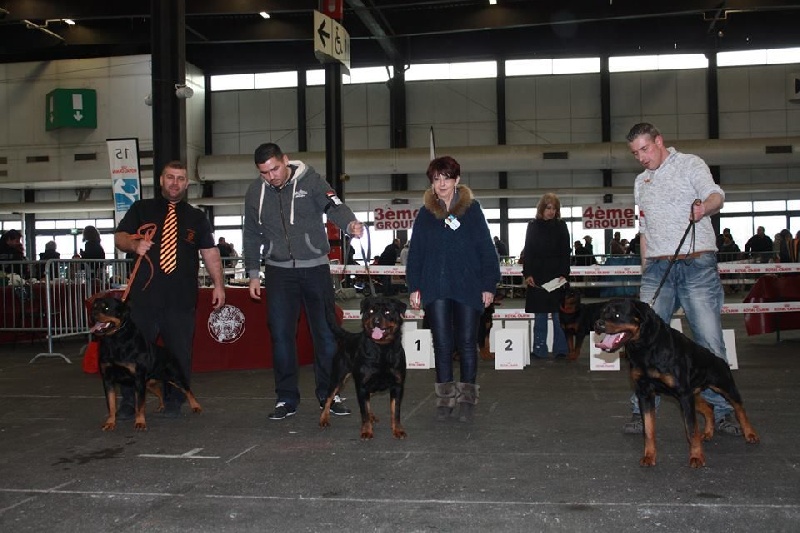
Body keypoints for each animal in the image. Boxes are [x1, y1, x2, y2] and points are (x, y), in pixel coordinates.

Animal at [90, 296, 202, 431]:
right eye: (94, 306)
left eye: (106, 308)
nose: (93, 314)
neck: (114, 340)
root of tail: (168, 351)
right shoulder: (108, 379)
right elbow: (111, 404)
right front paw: (110, 422)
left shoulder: (138, 379)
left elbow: (140, 404)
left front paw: (140, 422)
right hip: (149, 382)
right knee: (159, 391)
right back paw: (162, 406)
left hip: (175, 376)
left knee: (188, 390)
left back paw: (196, 406)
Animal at [320, 296, 407, 440]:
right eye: (371, 311)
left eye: (387, 312)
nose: (376, 320)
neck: (381, 349)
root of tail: (350, 336)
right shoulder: (362, 385)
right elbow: (363, 411)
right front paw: (366, 431)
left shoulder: (397, 385)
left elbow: (396, 411)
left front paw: (398, 430)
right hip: (338, 377)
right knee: (328, 397)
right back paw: (324, 419)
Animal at [594, 298, 759, 468]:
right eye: (602, 313)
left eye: (617, 314)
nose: (598, 323)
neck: (646, 348)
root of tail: (718, 358)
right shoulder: (645, 394)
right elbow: (648, 429)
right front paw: (649, 456)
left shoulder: (683, 394)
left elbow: (691, 429)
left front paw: (696, 457)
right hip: (693, 394)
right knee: (708, 408)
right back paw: (707, 433)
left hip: (724, 386)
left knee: (739, 408)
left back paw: (750, 434)